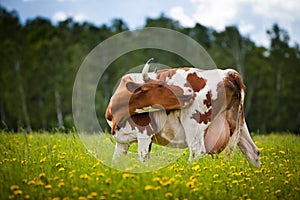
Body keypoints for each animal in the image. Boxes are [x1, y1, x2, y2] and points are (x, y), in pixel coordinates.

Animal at [106, 58, 260, 167]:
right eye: (160, 85)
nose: (189, 91)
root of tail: (227, 73)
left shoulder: (145, 134)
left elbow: (142, 160)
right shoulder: (122, 141)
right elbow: (116, 161)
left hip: (193, 122)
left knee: (197, 151)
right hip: (239, 124)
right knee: (253, 152)